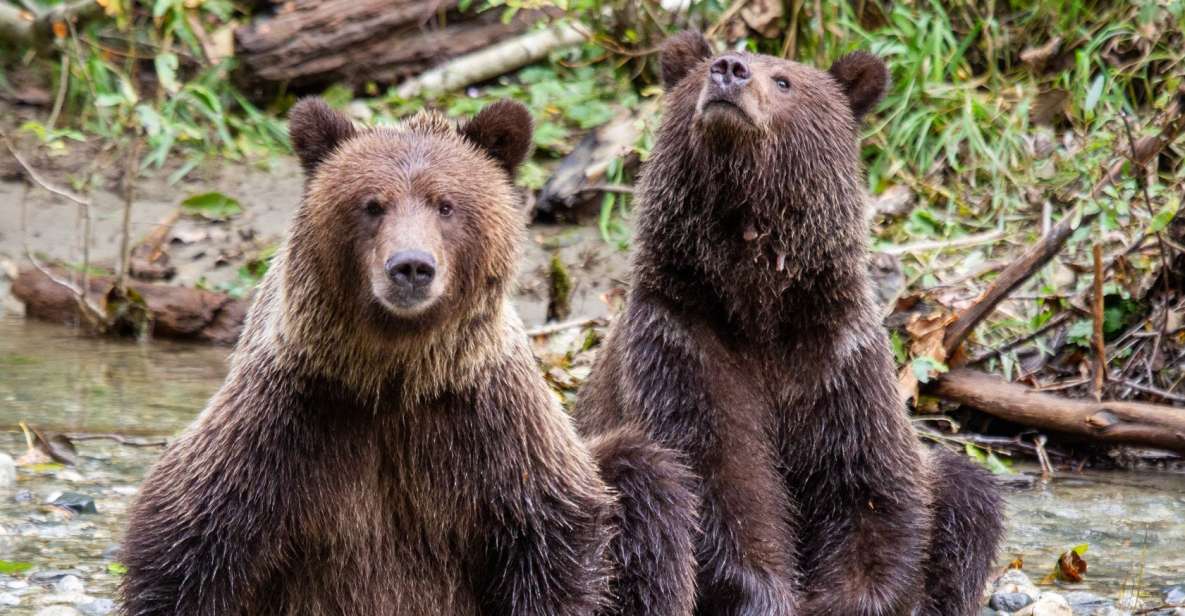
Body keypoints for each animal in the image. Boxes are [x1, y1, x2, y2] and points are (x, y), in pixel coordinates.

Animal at [119, 98, 696, 611]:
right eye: (372, 204)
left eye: (446, 205)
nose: (412, 266)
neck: (395, 375)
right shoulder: (292, 418)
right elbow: (187, 539)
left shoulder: (489, 424)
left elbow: (555, 534)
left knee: (644, 481)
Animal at [578, 33, 1004, 616]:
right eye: (704, 70)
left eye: (783, 80)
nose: (729, 70)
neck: (758, 305)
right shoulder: (681, 344)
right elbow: (719, 479)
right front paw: (767, 594)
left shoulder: (836, 356)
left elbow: (869, 487)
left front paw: (846, 598)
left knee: (967, 491)